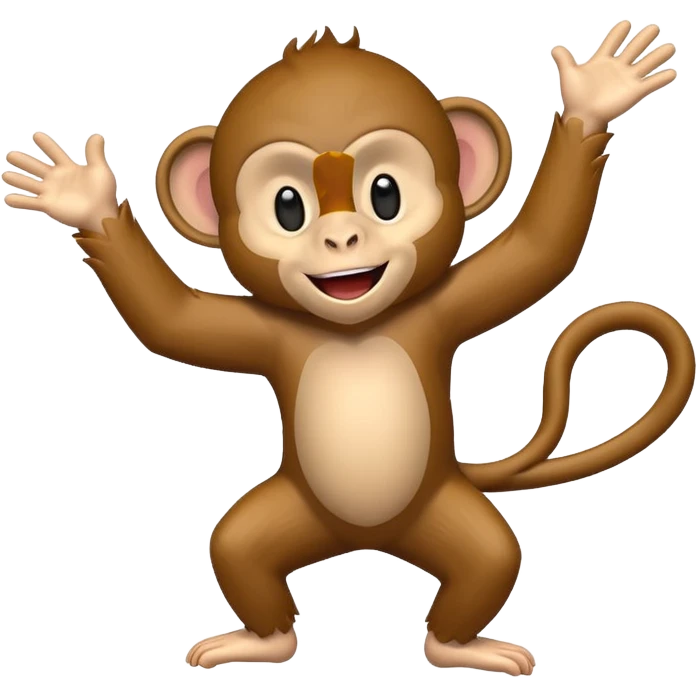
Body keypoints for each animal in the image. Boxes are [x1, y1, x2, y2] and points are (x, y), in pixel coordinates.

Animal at [2, 22, 694, 677]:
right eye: (288, 207)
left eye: (384, 193)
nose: (340, 239)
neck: (352, 324)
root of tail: (367, 538)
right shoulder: (267, 333)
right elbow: (169, 320)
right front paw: (82, 198)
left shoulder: (444, 308)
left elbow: (541, 249)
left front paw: (595, 97)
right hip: (293, 517)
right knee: (235, 547)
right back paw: (264, 639)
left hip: (440, 513)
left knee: (492, 557)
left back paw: (457, 648)